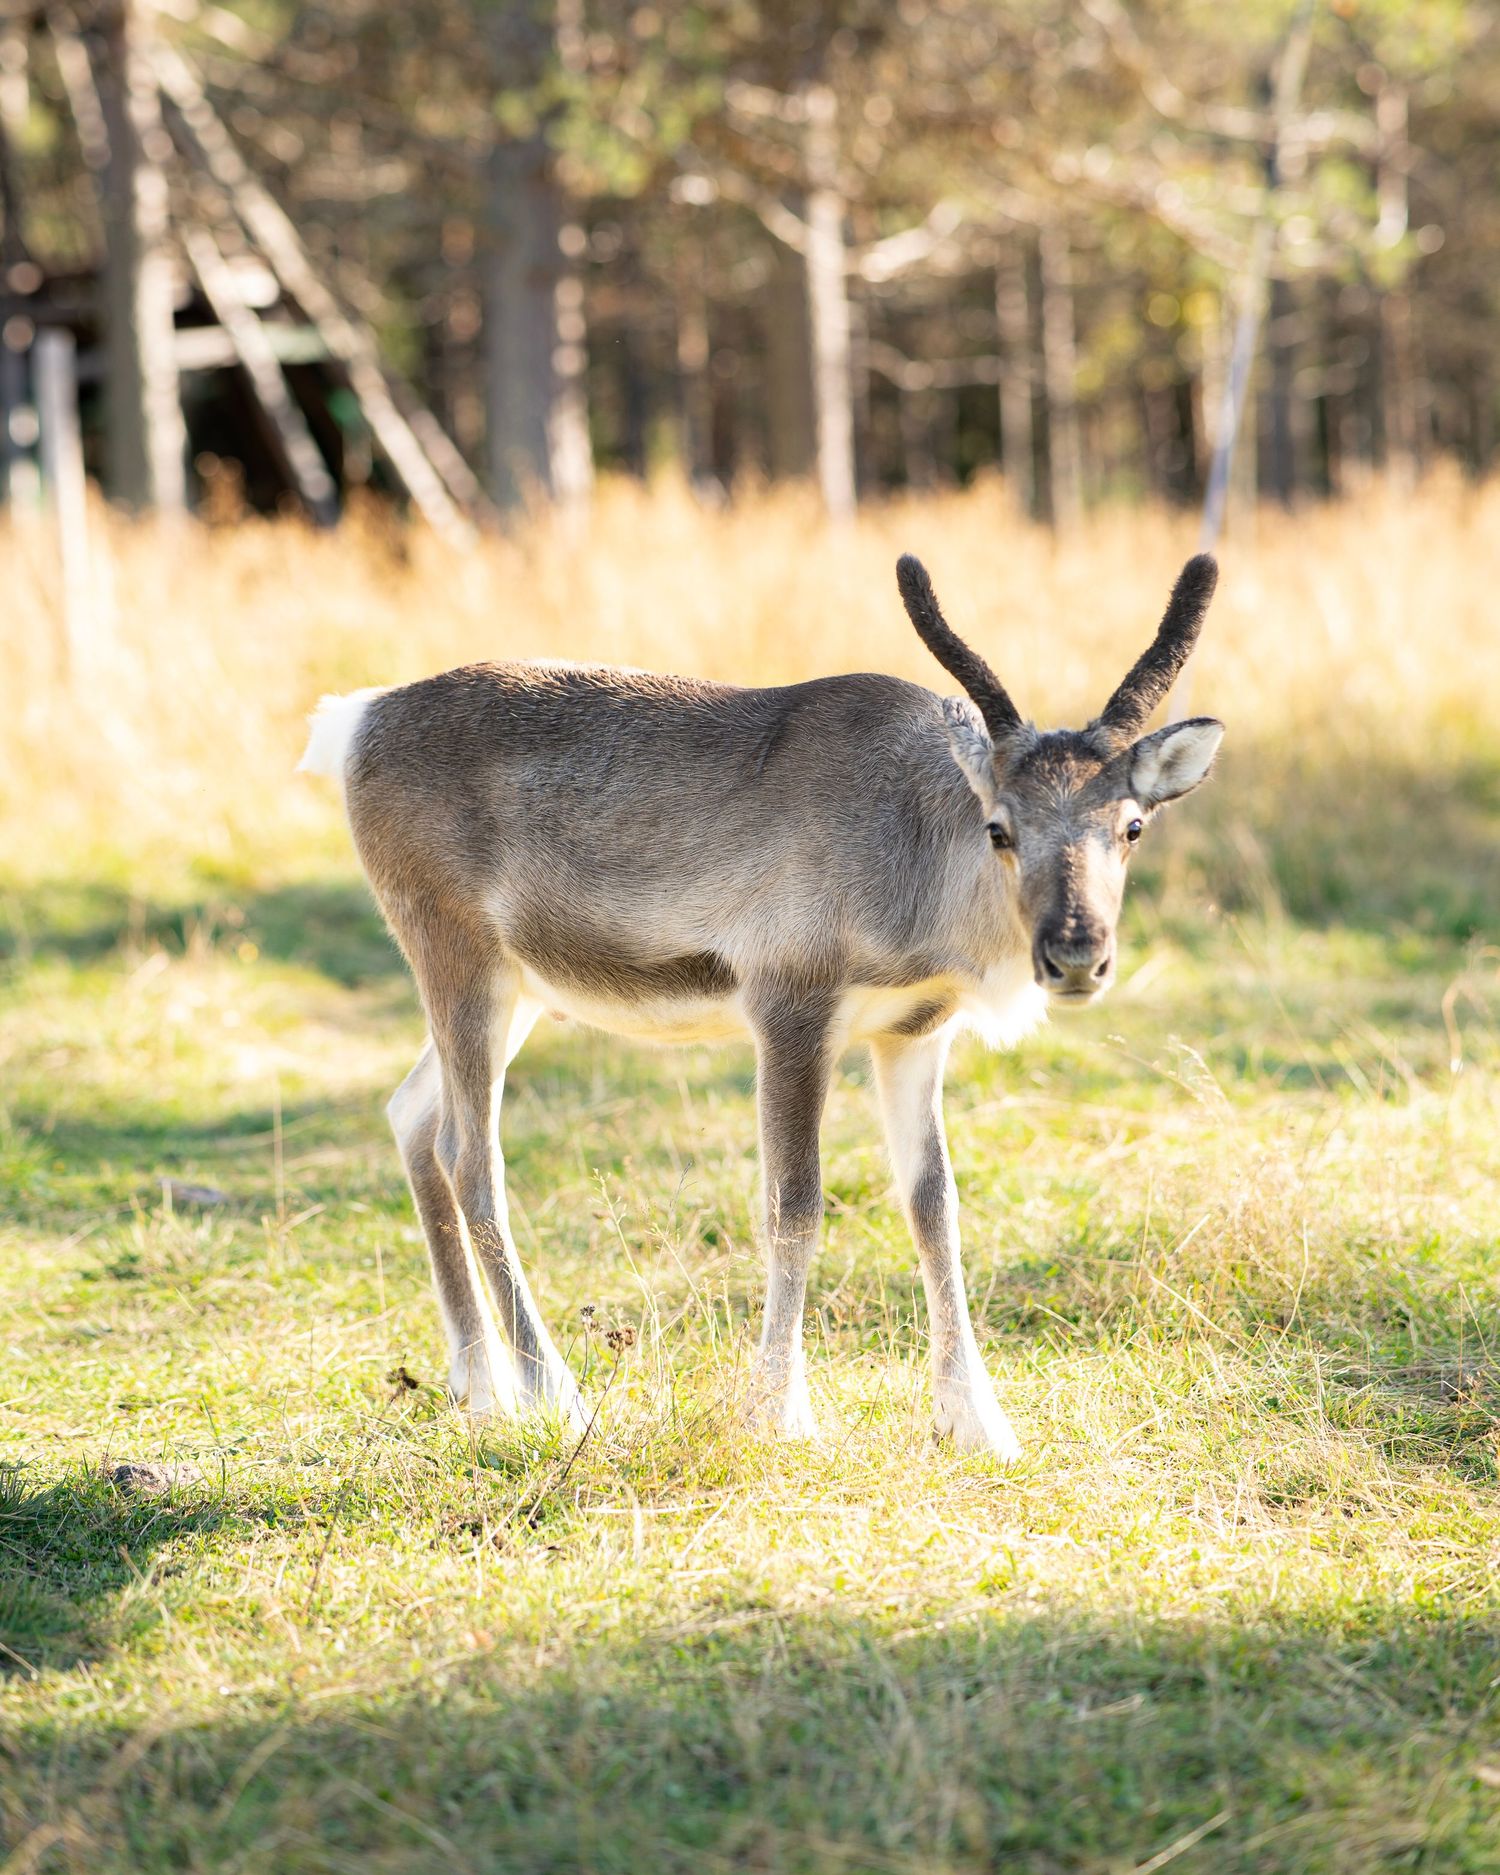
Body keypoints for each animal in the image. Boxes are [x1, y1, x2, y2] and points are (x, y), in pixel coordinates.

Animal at [298, 552, 1223, 1460]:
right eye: (999, 826)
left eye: (1133, 826)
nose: (1075, 954)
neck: (923, 885)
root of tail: (354, 722)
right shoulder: (789, 999)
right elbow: (795, 1203)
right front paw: (781, 1414)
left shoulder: (914, 1026)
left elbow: (935, 1204)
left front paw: (978, 1422)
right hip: (455, 947)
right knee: (470, 1151)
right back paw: (556, 1395)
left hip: (520, 984)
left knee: (411, 1111)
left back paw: (481, 1386)